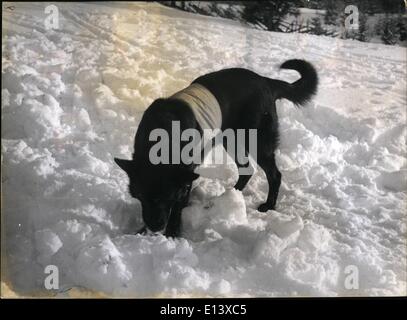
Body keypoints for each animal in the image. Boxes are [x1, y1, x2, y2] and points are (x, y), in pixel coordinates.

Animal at [114, 58, 318, 236]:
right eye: (141, 196)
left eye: (168, 197)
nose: (155, 227)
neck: (162, 134)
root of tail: (265, 81)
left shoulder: (184, 175)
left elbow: (178, 206)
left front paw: (172, 233)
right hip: (230, 139)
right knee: (246, 169)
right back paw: (231, 194)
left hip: (256, 142)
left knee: (274, 174)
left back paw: (268, 205)